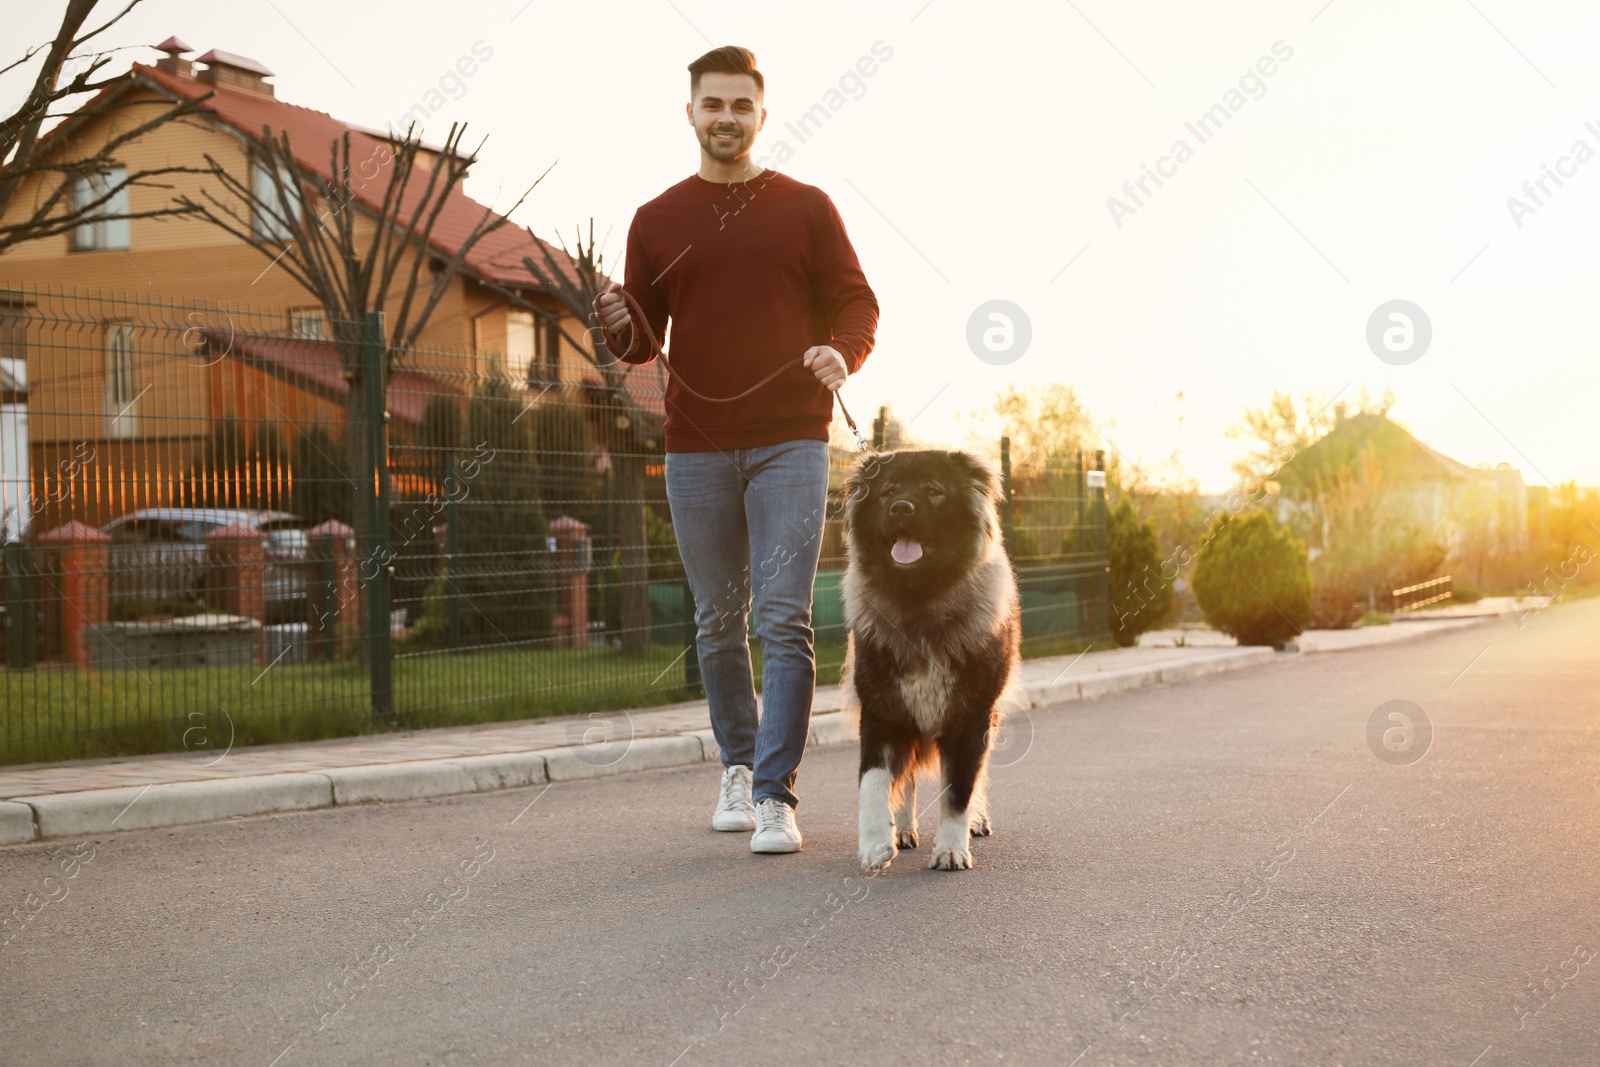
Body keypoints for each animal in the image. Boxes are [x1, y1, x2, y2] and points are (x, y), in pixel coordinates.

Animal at [838, 447, 1024, 870]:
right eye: (888, 491)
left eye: (933, 490)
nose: (900, 508)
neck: (919, 600)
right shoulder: (882, 713)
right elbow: (872, 782)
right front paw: (875, 842)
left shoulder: (970, 718)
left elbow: (959, 789)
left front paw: (952, 848)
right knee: (905, 780)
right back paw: (904, 829)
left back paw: (976, 821)